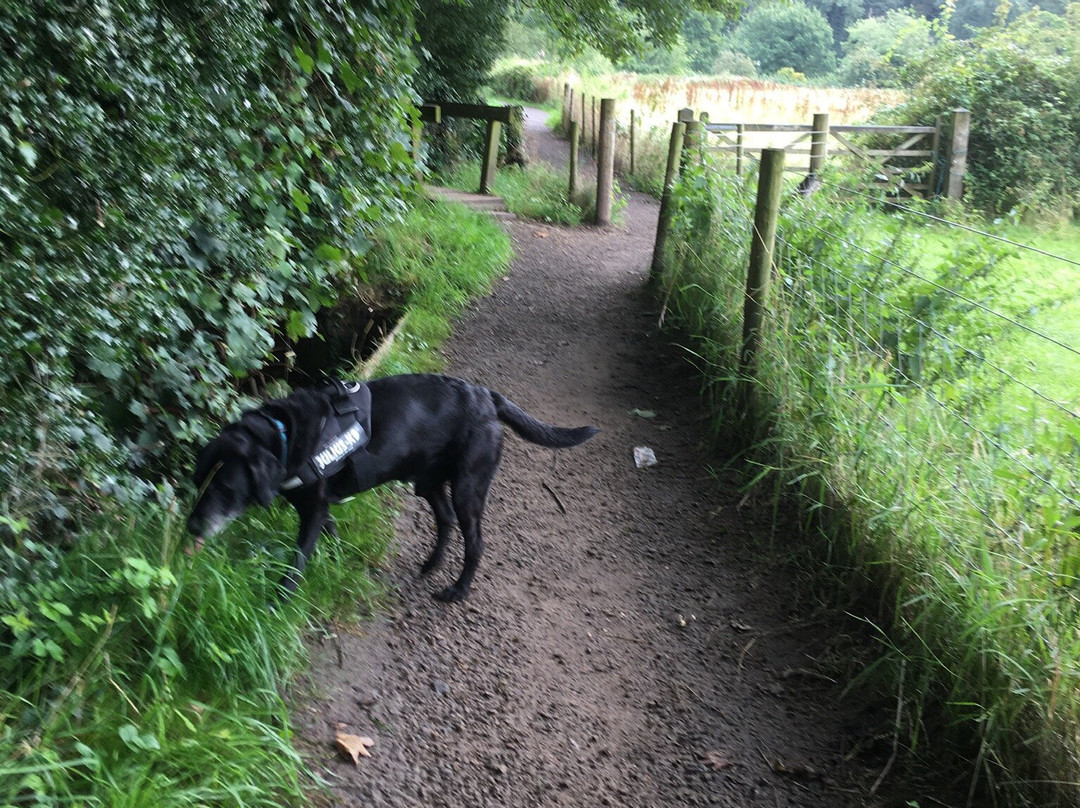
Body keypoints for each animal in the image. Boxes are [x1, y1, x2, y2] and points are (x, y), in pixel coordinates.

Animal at [191, 371, 604, 600]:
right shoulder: (318, 509)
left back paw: (458, 591)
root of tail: (487, 398)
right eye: (198, 483)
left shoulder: (314, 510)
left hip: (468, 487)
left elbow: (297, 562)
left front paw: (278, 602)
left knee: (475, 541)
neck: (284, 435)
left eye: (225, 490)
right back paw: (431, 565)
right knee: (445, 520)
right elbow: (332, 537)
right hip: (428, 482)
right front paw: (339, 564)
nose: (191, 528)